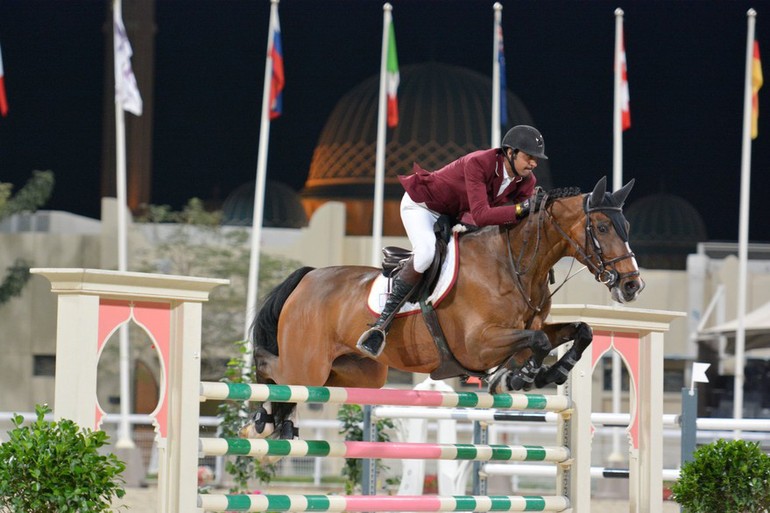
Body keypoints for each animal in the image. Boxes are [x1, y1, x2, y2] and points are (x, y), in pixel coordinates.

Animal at [242, 175, 640, 436]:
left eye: (626, 226)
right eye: (602, 228)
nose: (632, 285)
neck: (514, 264)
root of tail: (308, 277)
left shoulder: (530, 328)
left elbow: (580, 331)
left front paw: (550, 373)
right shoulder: (478, 344)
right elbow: (538, 343)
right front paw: (521, 376)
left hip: (356, 372)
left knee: (296, 388)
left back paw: (284, 423)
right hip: (306, 365)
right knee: (270, 367)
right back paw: (261, 417)